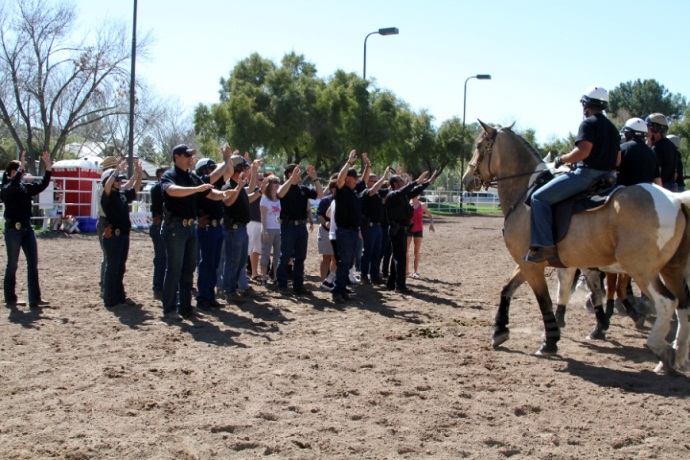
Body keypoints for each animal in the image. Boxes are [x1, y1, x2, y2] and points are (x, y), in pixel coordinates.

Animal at [460, 120, 690, 372]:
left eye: (480, 146)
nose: (466, 178)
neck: (526, 194)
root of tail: (675, 200)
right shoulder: (529, 262)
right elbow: (508, 289)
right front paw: (499, 330)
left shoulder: (534, 266)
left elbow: (545, 300)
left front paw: (550, 341)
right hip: (672, 269)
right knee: (684, 305)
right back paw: (678, 355)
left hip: (643, 270)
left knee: (666, 302)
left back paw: (660, 348)